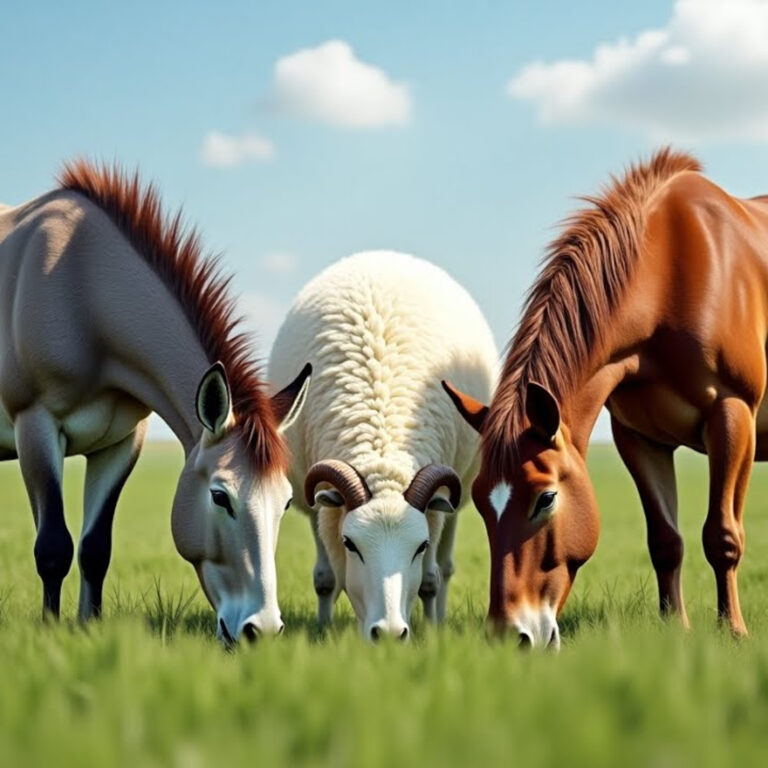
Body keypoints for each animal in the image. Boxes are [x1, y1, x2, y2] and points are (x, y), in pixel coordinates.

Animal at [0, 161, 310, 644]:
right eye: (220, 496)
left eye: (287, 501)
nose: (260, 629)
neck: (80, 284)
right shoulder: (35, 426)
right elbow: (53, 545)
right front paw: (51, 632)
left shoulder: (122, 442)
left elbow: (95, 548)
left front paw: (88, 628)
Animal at [269, 251, 497, 640]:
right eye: (350, 544)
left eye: (420, 545)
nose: (389, 633)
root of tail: (384, 256)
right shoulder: (318, 503)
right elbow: (325, 578)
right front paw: (323, 629)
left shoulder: (437, 512)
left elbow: (430, 579)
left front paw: (431, 633)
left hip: (458, 493)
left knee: (445, 568)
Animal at [444, 147, 768, 647]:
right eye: (479, 499)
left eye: (545, 499)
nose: (510, 634)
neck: (674, 270)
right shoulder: (638, 437)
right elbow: (665, 541)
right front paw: (675, 627)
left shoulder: (733, 416)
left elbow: (723, 536)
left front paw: (733, 631)